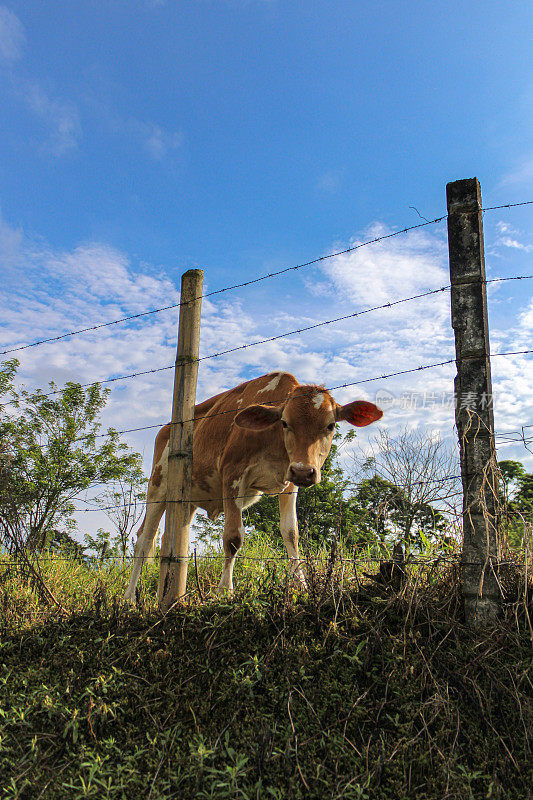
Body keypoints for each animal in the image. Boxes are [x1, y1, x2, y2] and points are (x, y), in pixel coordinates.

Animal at [123, 370, 382, 600]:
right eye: (285, 422)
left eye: (330, 426)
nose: (304, 470)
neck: (275, 446)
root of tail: (169, 426)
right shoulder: (232, 475)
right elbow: (233, 537)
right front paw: (224, 591)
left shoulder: (290, 484)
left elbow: (291, 533)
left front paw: (301, 585)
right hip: (157, 487)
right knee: (144, 541)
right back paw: (130, 597)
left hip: (188, 500)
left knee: (173, 541)